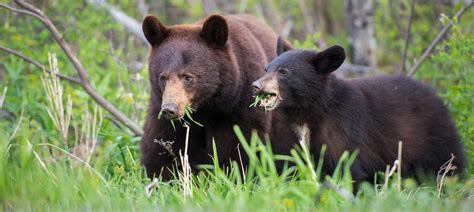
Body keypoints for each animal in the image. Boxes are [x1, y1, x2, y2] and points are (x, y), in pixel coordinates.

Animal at [141, 14, 296, 179]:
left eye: (188, 77)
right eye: (163, 77)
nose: (170, 109)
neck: (206, 107)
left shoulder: (239, 107)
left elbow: (237, 149)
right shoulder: (161, 111)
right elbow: (160, 149)